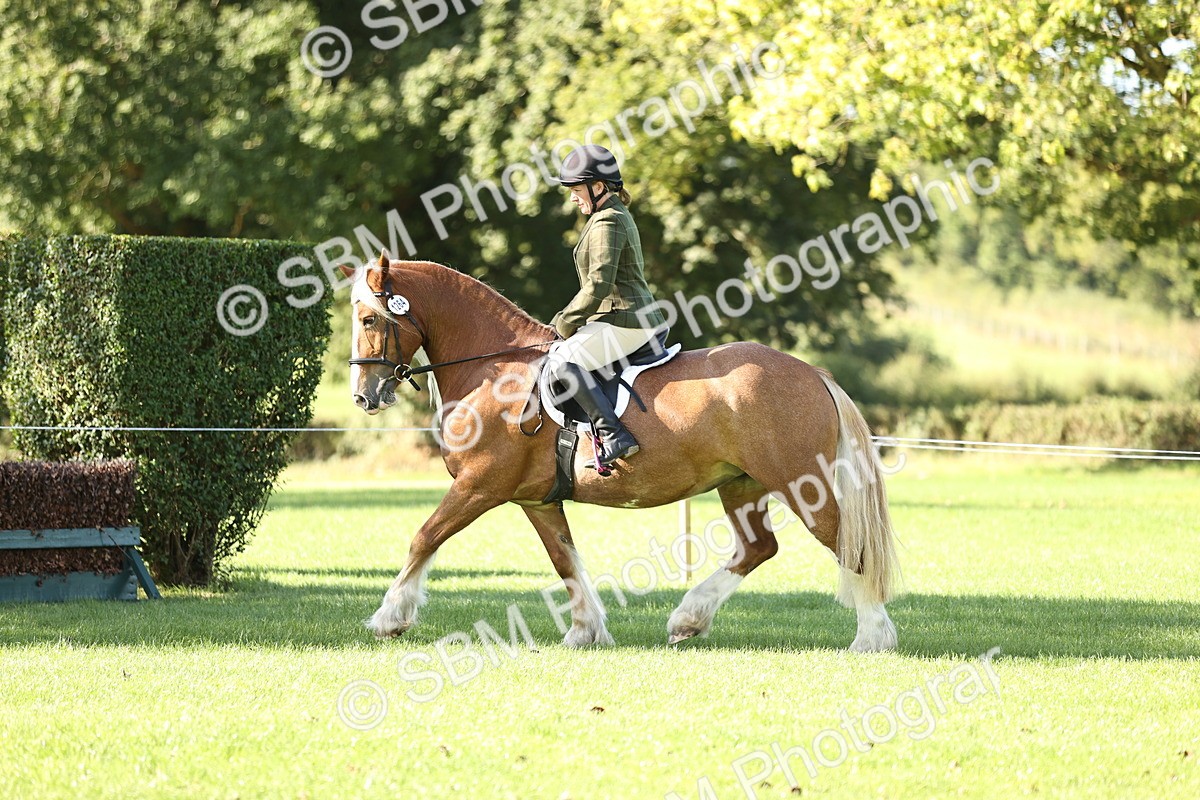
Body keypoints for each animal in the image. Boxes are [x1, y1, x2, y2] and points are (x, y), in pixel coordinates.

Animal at [340, 253, 901, 652]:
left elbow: (424, 537)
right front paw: (585, 630)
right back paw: (687, 620)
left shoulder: (480, 484)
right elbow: (564, 560)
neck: (496, 372)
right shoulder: (536, 499)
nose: (365, 396)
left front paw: (389, 619)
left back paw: (871, 637)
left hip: (798, 482)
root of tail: (813, 373)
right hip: (742, 483)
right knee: (757, 548)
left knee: (848, 546)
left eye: (368, 320)